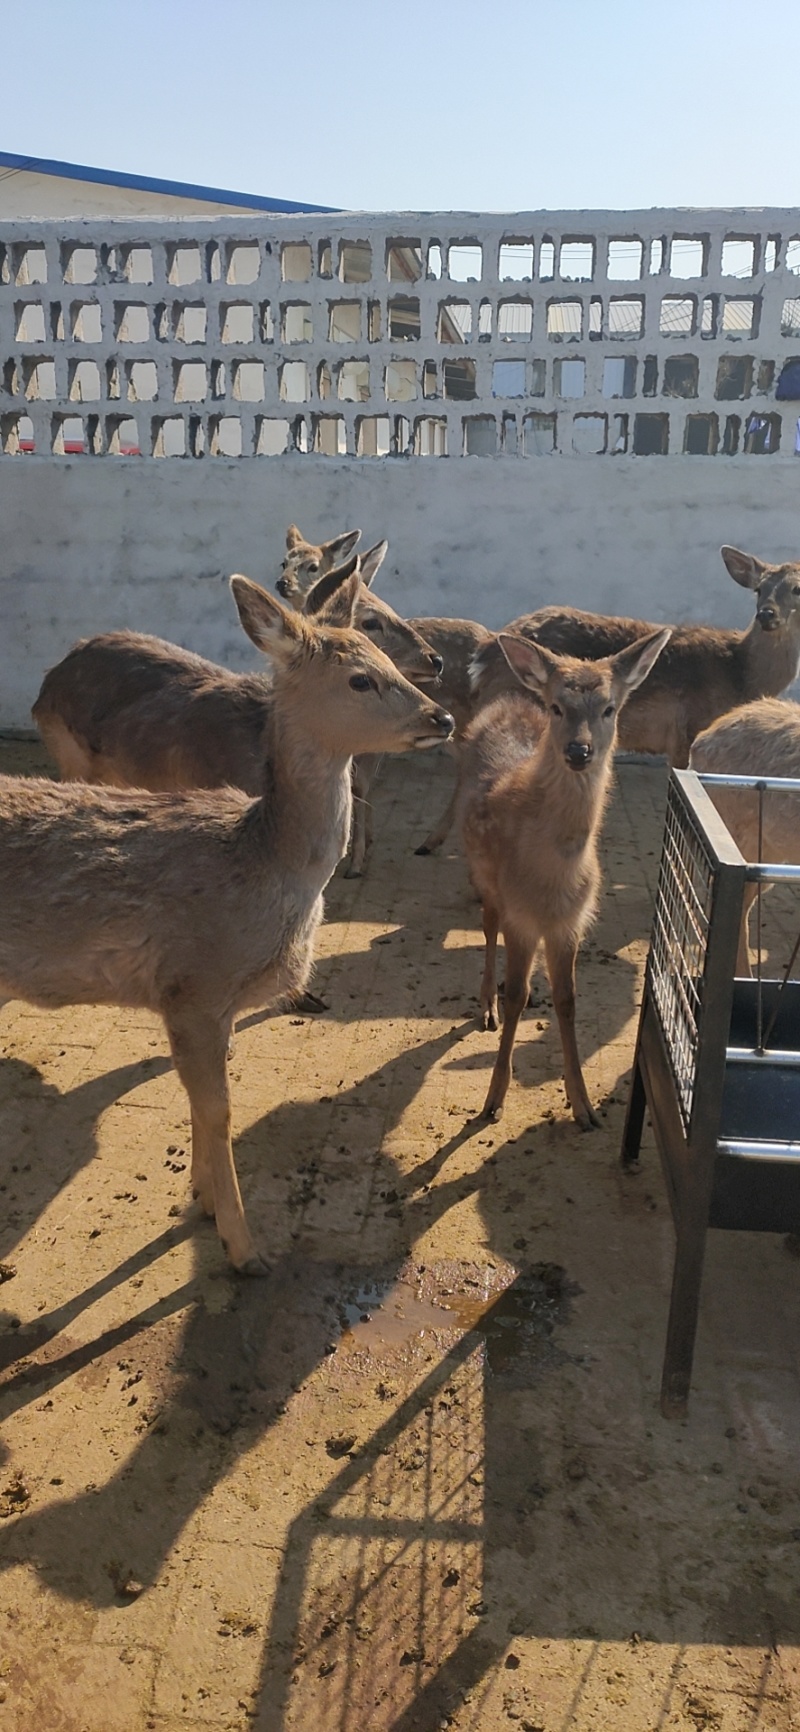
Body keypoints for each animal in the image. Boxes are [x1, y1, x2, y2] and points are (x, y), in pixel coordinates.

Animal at [1, 574, 454, 1273]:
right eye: (360, 677)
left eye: (386, 660)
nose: (443, 717)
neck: (261, 864)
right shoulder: (194, 984)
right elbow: (218, 1110)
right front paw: (245, 1249)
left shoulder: (212, 1002)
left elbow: (200, 1101)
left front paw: (205, 1201)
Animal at [459, 627, 670, 1127]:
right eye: (557, 706)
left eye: (609, 708)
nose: (578, 750)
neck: (554, 877)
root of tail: (507, 703)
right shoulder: (520, 912)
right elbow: (515, 995)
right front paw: (493, 1100)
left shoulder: (570, 921)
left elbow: (569, 1001)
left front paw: (584, 1106)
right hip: (485, 877)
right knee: (487, 929)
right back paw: (487, 1005)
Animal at [469, 547, 800, 768]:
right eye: (759, 589)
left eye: (797, 588)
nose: (766, 614)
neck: (740, 673)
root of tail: (485, 654)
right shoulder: (687, 732)